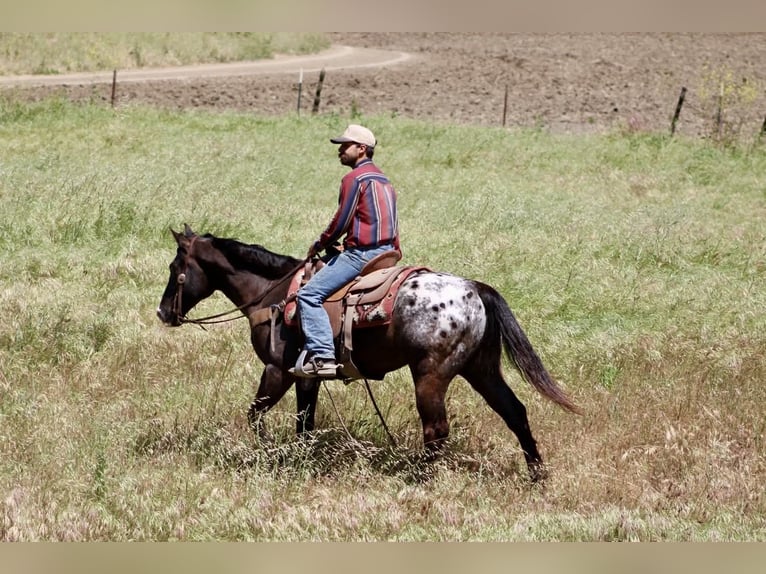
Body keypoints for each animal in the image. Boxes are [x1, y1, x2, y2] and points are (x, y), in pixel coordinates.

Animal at [156, 224, 580, 482]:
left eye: (175, 267)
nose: (162, 312)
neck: (273, 294)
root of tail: (476, 289)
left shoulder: (277, 371)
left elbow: (256, 416)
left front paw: (269, 453)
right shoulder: (306, 376)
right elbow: (304, 424)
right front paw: (301, 459)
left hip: (431, 375)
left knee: (437, 429)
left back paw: (417, 477)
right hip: (481, 370)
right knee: (515, 412)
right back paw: (537, 476)